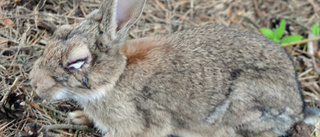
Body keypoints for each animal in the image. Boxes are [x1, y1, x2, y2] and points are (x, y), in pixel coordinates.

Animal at [28, 0, 310, 136]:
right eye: (59, 32)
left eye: (76, 62)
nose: (34, 83)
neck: (115, 78)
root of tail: (298, 106)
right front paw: (78, 117)